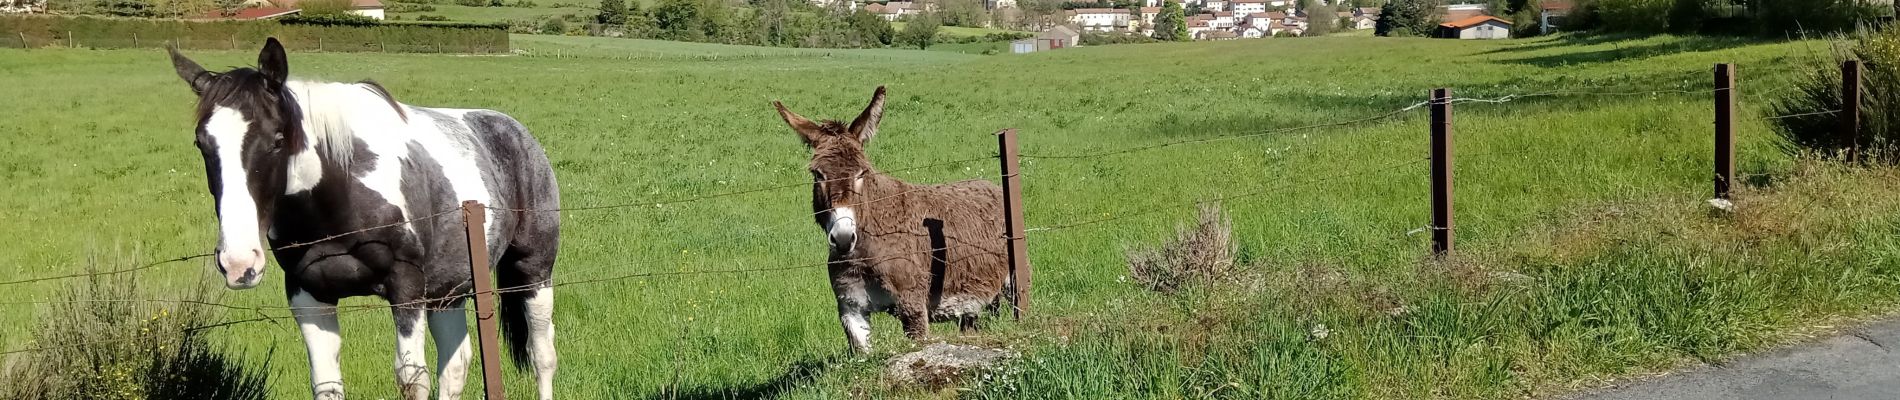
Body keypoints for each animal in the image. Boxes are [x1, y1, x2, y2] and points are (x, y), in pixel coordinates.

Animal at [170, 38, 558, 400]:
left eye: (278, 139)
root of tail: (517, 132)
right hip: (447, 290)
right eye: (202, 143)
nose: (238, 263)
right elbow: (327, 384)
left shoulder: (406, 287)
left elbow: (412, 379)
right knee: (456, 365)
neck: (339, 198)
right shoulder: (308, 296)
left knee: (542, 355)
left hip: (533, 273)